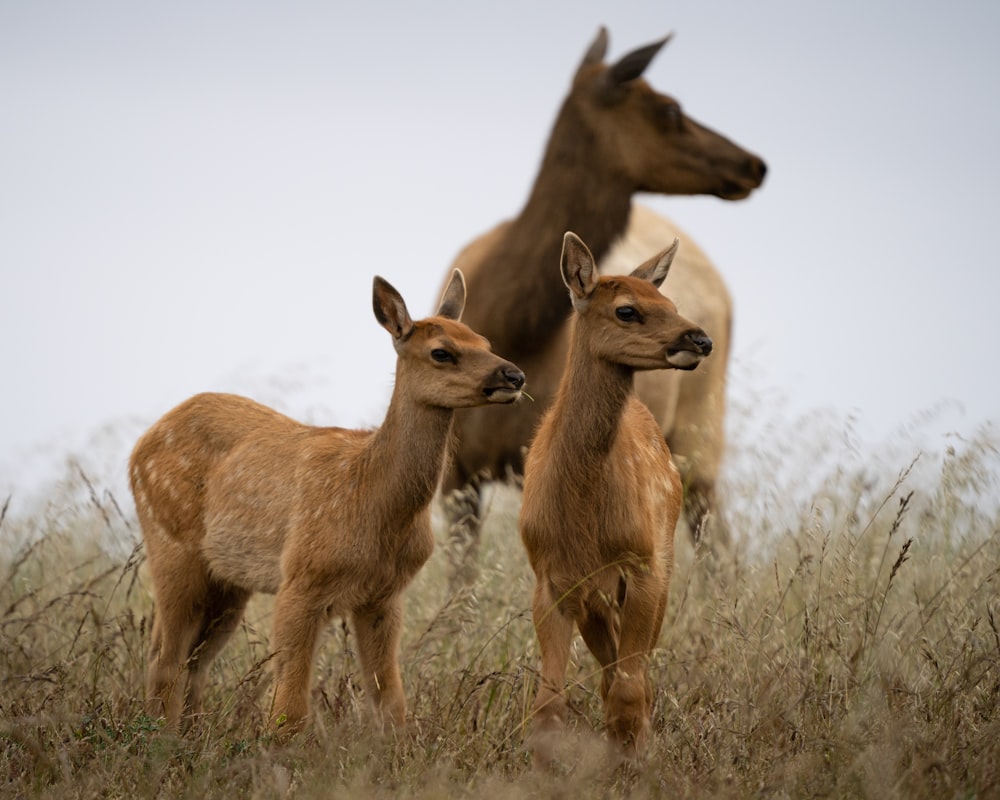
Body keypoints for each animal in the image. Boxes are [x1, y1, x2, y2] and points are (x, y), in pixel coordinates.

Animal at [127, 272, 524, 736]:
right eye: (441, 352)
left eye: (483, 339)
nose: (514, 375)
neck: (373, 499)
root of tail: (139, 447)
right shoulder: (301, 578)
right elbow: (290, 710)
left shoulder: (384, 595)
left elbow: (391, 702)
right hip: (171, 546)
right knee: (164, 659)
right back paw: (161, 738)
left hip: (227, 580)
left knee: (193, 661)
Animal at [520, 230, 716, 764]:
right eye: (627, 310)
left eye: (669, 303)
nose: (701, 339)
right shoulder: (552, 579)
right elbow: (548, 705)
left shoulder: (642, 565)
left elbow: (631, 692)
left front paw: (634, 762)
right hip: (598, 600)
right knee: (612, 676)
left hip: (661, 564)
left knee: (636, 681)